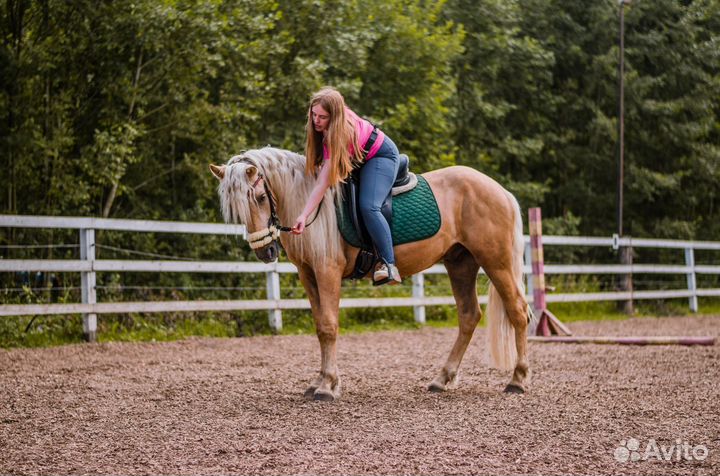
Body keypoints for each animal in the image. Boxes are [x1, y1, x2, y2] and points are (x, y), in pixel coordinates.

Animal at [210, 147, 532, 401]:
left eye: (261, 197)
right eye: (236, 209)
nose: (265, 252)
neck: (311, 204)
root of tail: (500, 191)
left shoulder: (327, 272)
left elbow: (329, 326)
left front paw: (327, 386)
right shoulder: (308, 275)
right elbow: (319, 327)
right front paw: (319, 381)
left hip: (496, 262)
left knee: (517, 311)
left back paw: (518, 379)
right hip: (460, 264)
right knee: (469, 316)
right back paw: (443, 379)